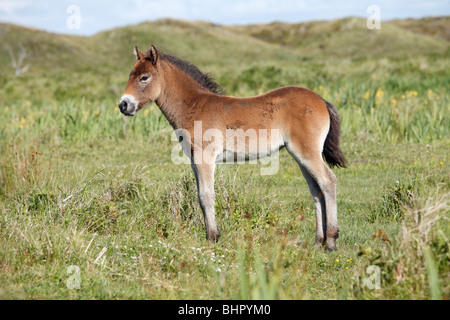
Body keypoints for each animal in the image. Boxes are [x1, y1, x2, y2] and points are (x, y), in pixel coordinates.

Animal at [118, 44, 346, 250]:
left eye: (144, 77)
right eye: (130, 75)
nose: (123, 105)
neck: (194, 106)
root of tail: (321, 100)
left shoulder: (205, 158)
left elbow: (206, 196)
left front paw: (212, 238)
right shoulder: (194, 160)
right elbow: (200, 196)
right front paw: (211, 235)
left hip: (306, 153)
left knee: (328, 181)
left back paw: (331, 241)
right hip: (300, 156)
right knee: (316, 190)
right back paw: (318, 242)